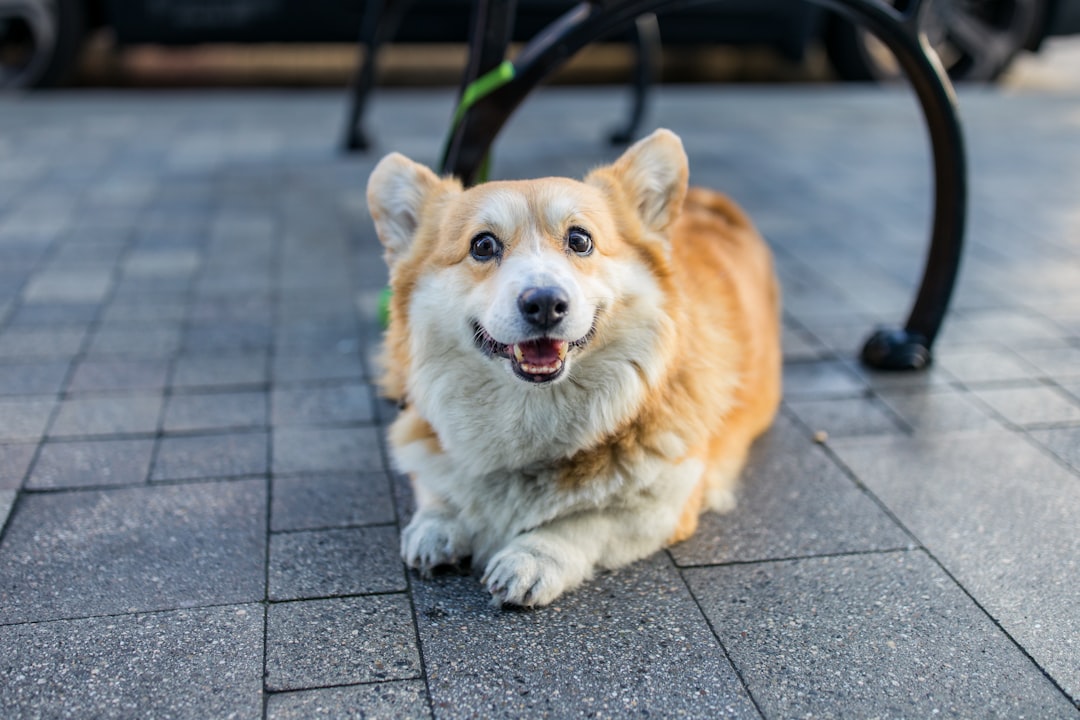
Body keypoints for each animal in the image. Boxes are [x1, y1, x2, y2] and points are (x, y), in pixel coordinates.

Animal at [367, 129, 781, 608]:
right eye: (482, 245)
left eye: (580, 240)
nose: (545, 302)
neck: (533, 409)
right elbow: (437, 486)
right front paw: (438, 525)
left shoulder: (667, 503)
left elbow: (587, 520)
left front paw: (533, 557)